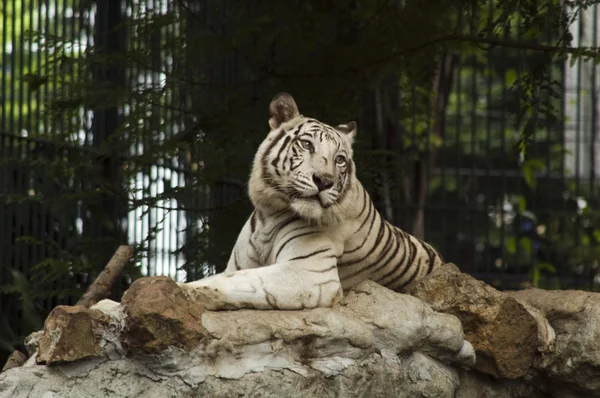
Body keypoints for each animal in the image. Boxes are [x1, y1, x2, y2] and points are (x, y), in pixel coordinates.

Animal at [183, 93, 446, 310]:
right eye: (307, 144)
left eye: (339, 159)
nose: (324, 181)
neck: (269, 213)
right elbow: (227, 275)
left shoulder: (308, 273)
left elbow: (234, 280)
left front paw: (186, 290)